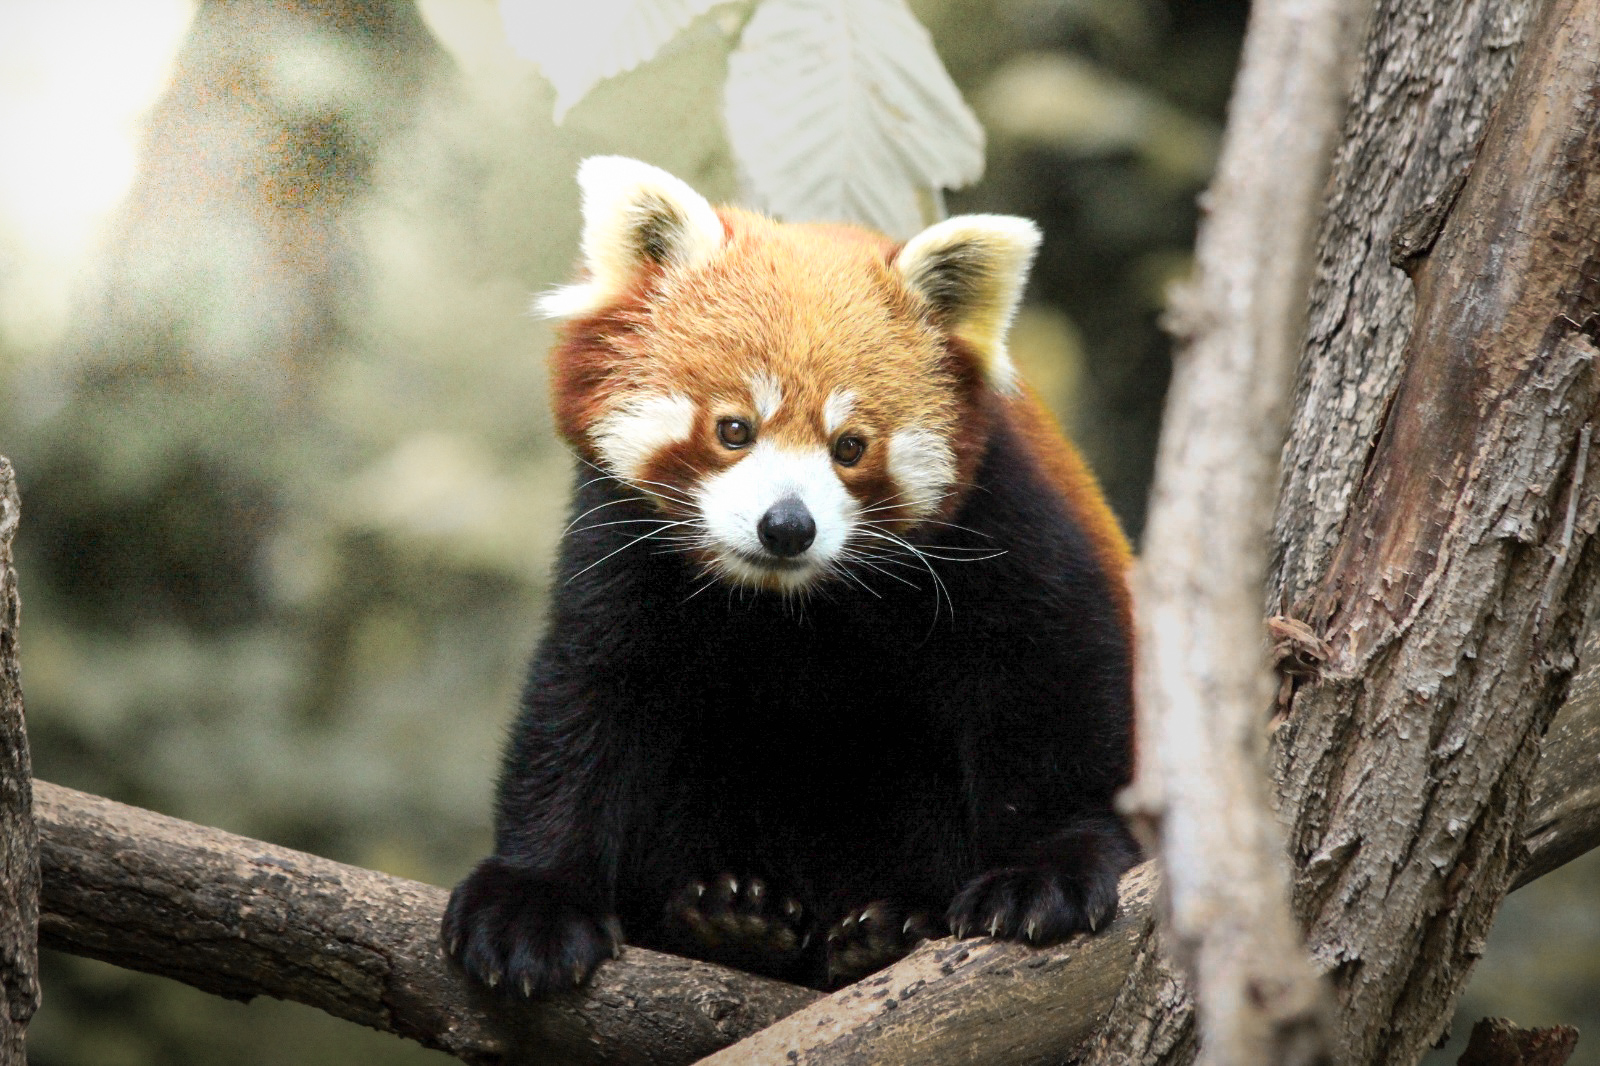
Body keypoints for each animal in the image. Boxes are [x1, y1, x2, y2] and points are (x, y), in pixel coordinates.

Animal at [438, 153, 1139, 992]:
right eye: (734, 429)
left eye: (850, 446)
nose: (787, 526)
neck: (789, 602)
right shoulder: (619, 539)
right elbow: (585, 700)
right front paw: (530, 900)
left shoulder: (1005, 523)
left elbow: (1054, 682)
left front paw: (1048, 871)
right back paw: (732, 919)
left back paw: (886, 926)